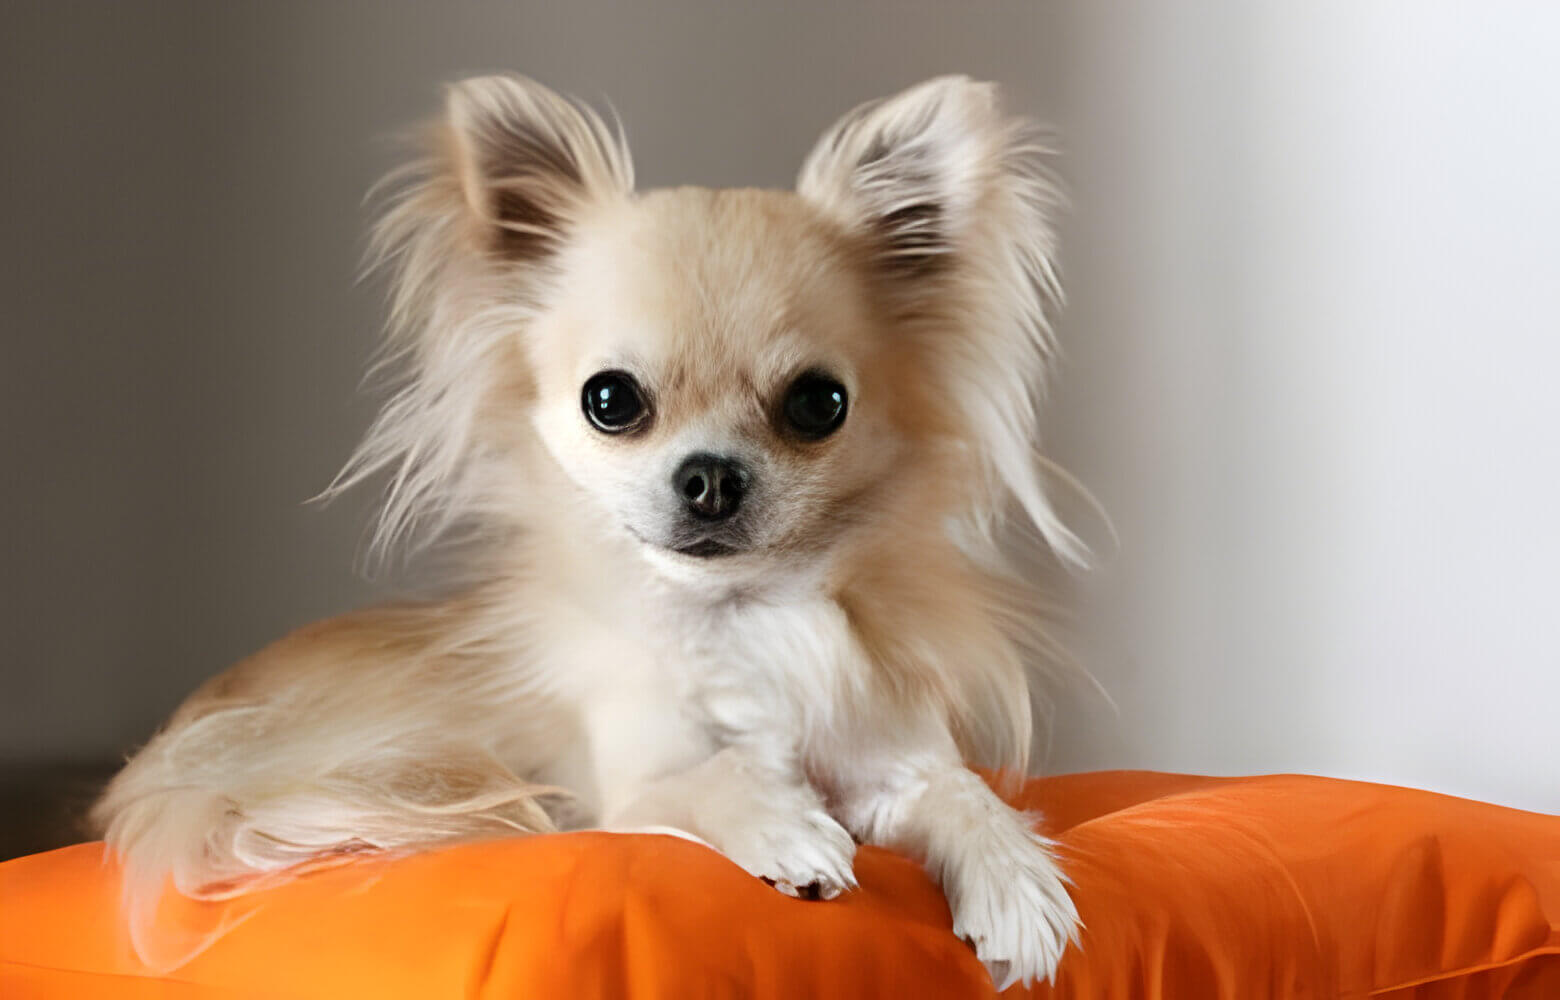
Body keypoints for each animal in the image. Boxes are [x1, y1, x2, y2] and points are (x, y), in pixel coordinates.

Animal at [94, 74, 1085, 985]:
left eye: (819, 404)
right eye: (610, 401)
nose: (710, 477)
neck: (740, 617)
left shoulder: (889, 765)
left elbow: (962, 793)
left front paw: (1016, 884)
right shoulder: (633, 783)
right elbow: (707, 777)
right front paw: (784, 826)